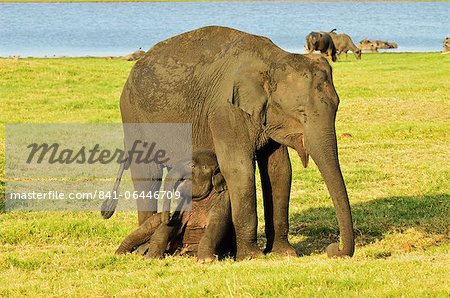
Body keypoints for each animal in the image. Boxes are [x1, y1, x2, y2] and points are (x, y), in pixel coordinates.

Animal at [115, 26, 352, 258]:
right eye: (301, 112)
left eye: (337, 106)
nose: (334, 250)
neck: (272, 58)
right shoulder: (225, 110)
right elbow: (238, 168)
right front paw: (252, 256)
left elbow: (279, 170)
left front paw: (284, 253)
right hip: (132, 114)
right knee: (147, 174)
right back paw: (144, 250)